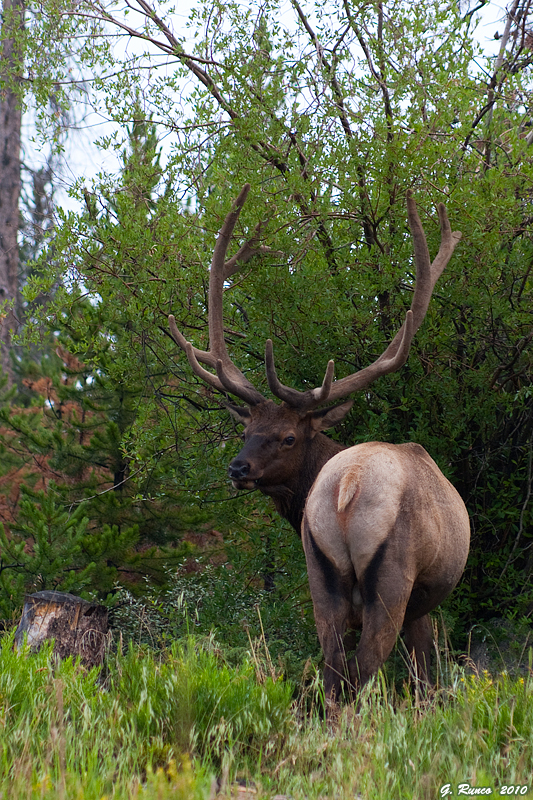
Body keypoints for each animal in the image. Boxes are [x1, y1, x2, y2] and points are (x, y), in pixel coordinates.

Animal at [168, 184, 470, 702]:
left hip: (321, 573)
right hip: (393, 577)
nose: (238, 469)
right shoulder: (423, 600)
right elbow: (425, 675)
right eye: (246, 432)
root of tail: (346, 488)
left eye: (287, 436)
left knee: (332, 670)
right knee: (364, 668)